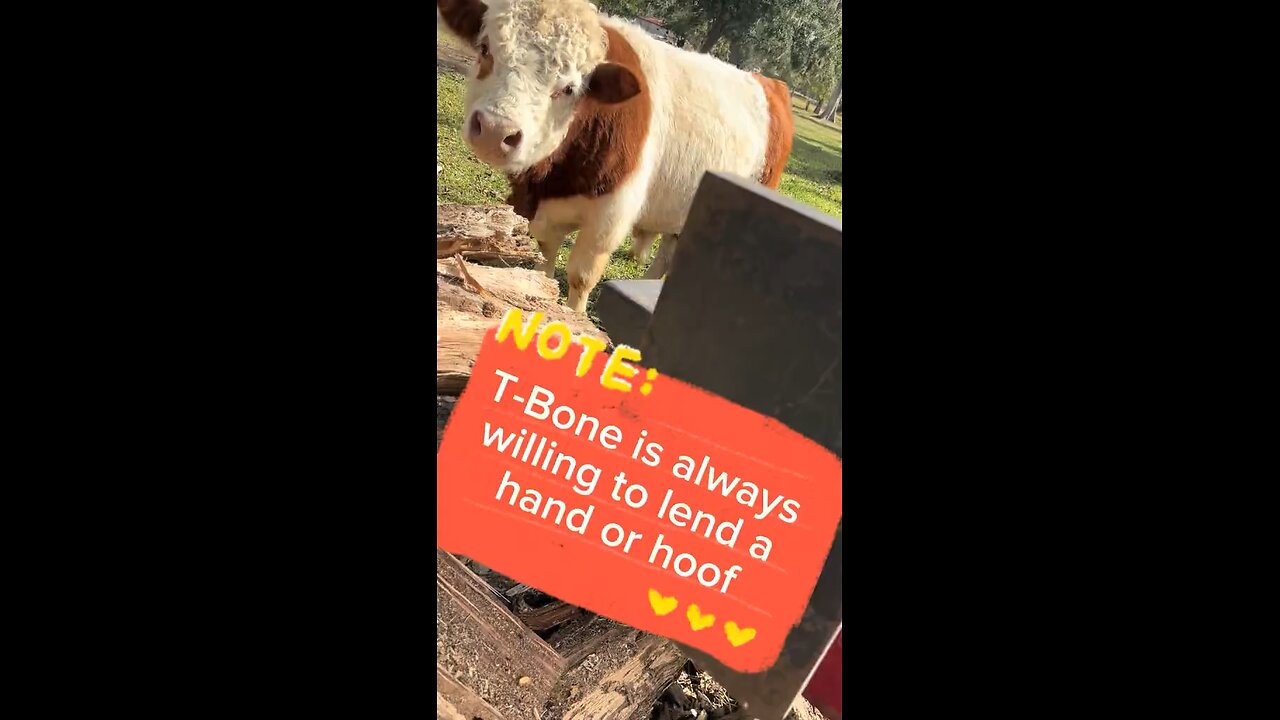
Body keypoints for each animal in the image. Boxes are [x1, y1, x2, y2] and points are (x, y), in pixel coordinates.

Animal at [437, 0, 795, 313]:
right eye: (485, 49)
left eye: (569, 88)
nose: (496, 130)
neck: (556, 178)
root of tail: (770, 83)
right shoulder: (543, 209)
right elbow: (543, 261)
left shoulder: (609, 216)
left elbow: (581, 276)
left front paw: (575, 316)